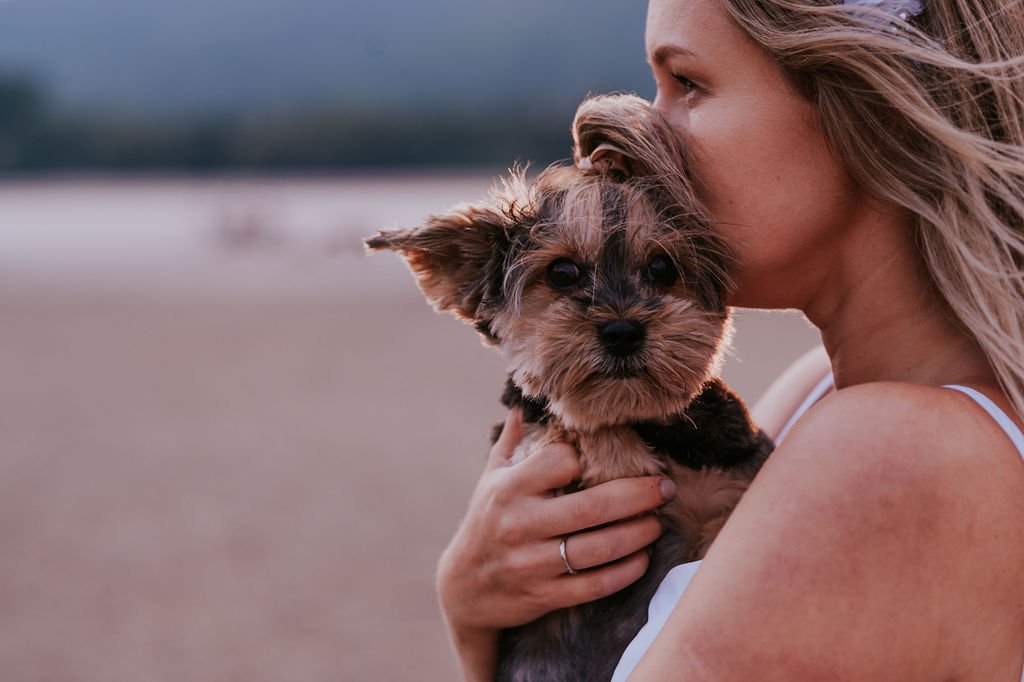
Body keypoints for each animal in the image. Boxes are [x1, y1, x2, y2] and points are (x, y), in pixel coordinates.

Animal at [364, 94, 770, 679]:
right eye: (561, 272)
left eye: (662, 267)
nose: (622, 331)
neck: (634, 418)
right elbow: (557, 418)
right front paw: (608, 449)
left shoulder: (725, 495)